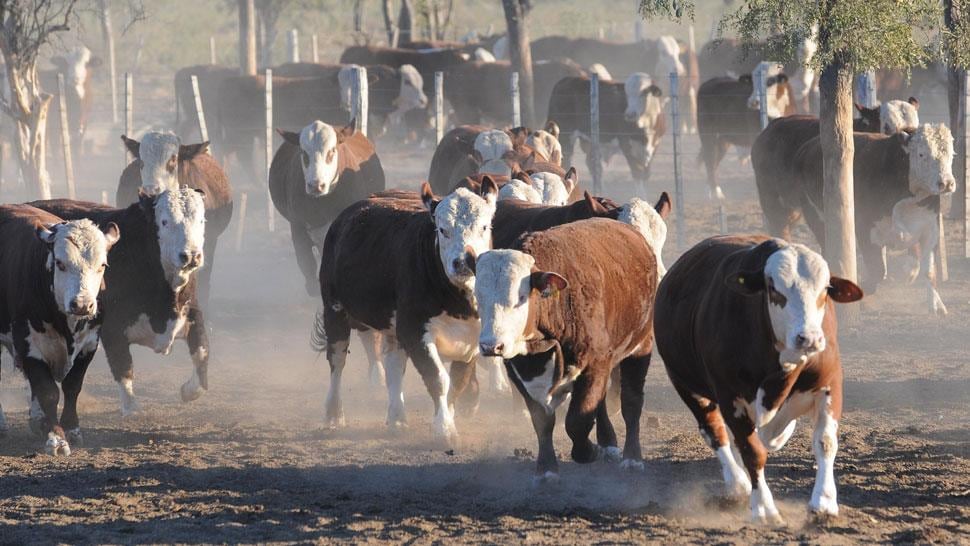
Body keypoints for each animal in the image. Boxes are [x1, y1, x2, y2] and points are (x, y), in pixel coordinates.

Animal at [0, 204, 119, 450]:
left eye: (102, 265)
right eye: (60, 263)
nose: (82, 304)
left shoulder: (90, 343)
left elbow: (72, 386)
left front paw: (72, 429)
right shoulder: (28, 343)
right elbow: (48, 392)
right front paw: (56, 437)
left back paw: (37, 419)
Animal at [34, 187, 210, 412]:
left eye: (201, 220)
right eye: (164, 222)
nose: (191, 256)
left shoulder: (192, 313)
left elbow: (201, 352)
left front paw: (190, 390)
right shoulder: (112, 327)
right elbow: (123, 364)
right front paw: (131, 407)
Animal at [314, 181, 500, 444]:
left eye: (484, 226)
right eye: (442, 229)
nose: (464, 261)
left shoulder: (471, 340)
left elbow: (457, 383)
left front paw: (446, 420)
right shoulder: (414, 329)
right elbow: (438, 378)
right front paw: (444, 429)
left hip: (392, 329)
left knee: (393, 366)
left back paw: (397, 418)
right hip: (334, 310)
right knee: (337, 361)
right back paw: (333, 414)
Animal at [470, 217, 664, 480]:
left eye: (520, 297)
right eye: (478, 295)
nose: (491, 345)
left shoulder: (595, 362)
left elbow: (577, 421)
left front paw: (587, 451)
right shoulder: (519, 374)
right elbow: (542, 421)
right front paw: (546, 469)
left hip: (640, 346)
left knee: (631, 402)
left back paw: (631, 457)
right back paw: (608, 442)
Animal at [652, 235, 864, 524]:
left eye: (825, 290)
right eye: (773, 289)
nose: (809, 338)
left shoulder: (829, 384)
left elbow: (825, 442)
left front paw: (824, 503)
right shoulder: (730, 397)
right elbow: (752, 452)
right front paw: (764, 508)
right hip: (684, 383)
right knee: (714, 431)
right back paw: (737, 484)